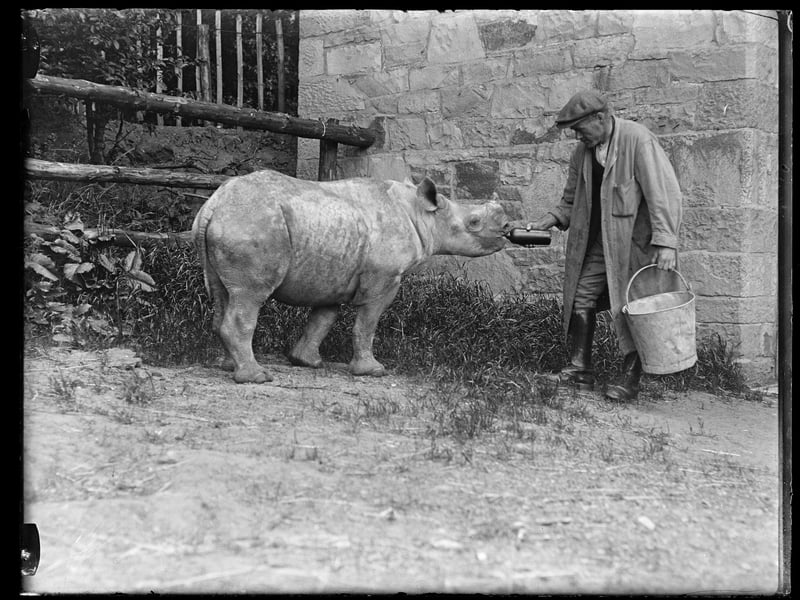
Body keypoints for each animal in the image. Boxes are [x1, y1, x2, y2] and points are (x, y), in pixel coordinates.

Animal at [192, 169, 511, 383]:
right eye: (474, 222)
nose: (508, 228)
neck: (423, 213)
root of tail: (214, 203)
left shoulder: (333, 275)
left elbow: (322, 319)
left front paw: (306, 361)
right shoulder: (384, 278)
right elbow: (366, 324)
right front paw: (372, 370)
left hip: (235, 223)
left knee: (225, 294)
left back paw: (229, 366)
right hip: (253, 224)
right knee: (250, 296)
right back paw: (257, 377)